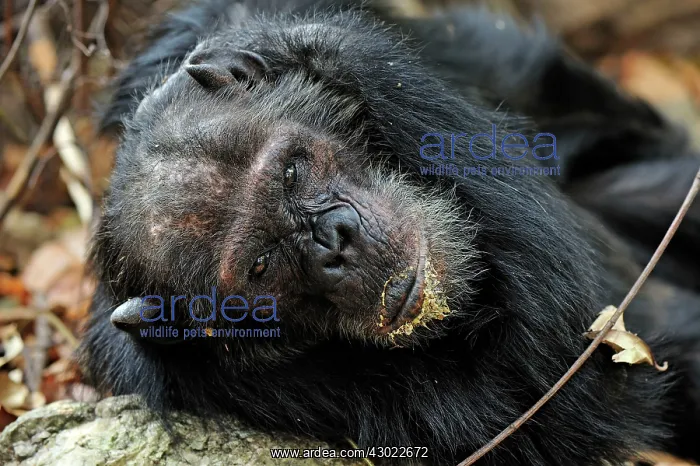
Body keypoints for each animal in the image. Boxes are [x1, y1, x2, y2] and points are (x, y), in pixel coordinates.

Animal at [79, 0, 700, 464]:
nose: (335, 241)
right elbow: (552, 393)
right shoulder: (197, 379)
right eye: (260, 266)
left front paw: (305, 52)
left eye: (290, 173)